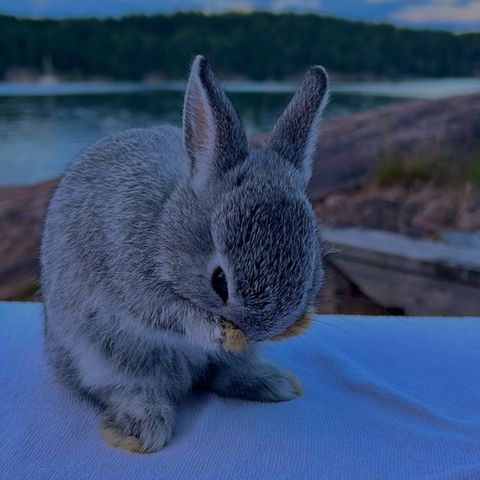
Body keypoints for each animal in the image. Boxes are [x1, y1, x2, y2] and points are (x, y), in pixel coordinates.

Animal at [41, 56, 328, 454]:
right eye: (219, 281)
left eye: (311, 266)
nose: (260, 332)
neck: (168, 222)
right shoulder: (138, 284)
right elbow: (173, 316)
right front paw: (220, 332)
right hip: (101, 356)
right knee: (121, 388)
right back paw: (142, 429)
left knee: (222, 375)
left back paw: (274, 384)